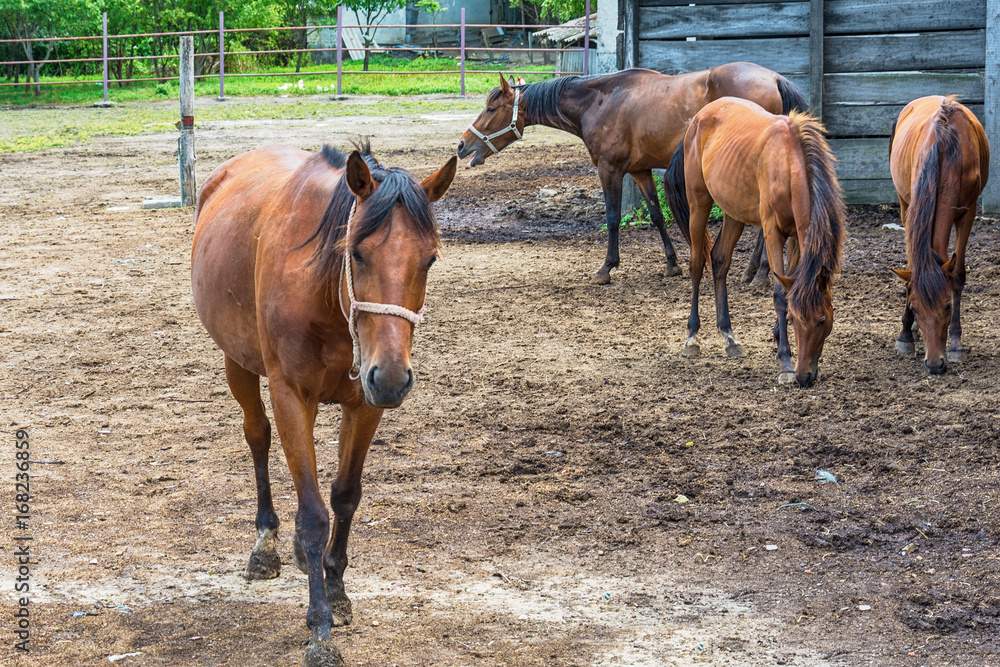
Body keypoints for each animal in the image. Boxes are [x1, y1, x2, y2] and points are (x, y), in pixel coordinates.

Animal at [191, 141, 457, 664]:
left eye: (431, 259)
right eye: (356, 252)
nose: (392, 377)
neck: (325, 294)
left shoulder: (366, 403)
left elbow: (345, 497)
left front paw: (336, 588)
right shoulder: (291, 395)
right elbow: (313, 515)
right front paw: (320, 628)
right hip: (238, 363)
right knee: (257, 437)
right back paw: (267, 544)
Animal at [456, 63, 807, 284]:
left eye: (491, 109)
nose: (461, 145)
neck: (599, 100)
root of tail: (775, 78)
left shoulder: (610, 169)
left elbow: (612, 217)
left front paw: (607, 268)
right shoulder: (640, 171)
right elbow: (656, 215)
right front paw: (671, 264)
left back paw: (760, 274)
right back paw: (754, 272)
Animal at [663, 97, 845, 387]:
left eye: (822, 320)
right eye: (795, 319)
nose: (805, 376)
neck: (787, 163)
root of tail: (700, 116)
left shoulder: (796, 236)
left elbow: (790, 284)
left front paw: (779, 339)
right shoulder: (772, 232)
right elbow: (780, 294)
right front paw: (785, 361)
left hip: (733, 212)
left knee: (719, 260)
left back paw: (729, 337)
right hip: (698, 204)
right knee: (696, 265)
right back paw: (692, 337)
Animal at [888, 96, 989, 373]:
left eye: (947, 306)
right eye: (915, 307)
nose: (934, 365)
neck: (945, 147)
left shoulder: (968, 213)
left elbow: (957, 275)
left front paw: (955, 344)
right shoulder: (913, 208)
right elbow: (911, 274)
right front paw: (905, 335)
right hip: (903, 203)